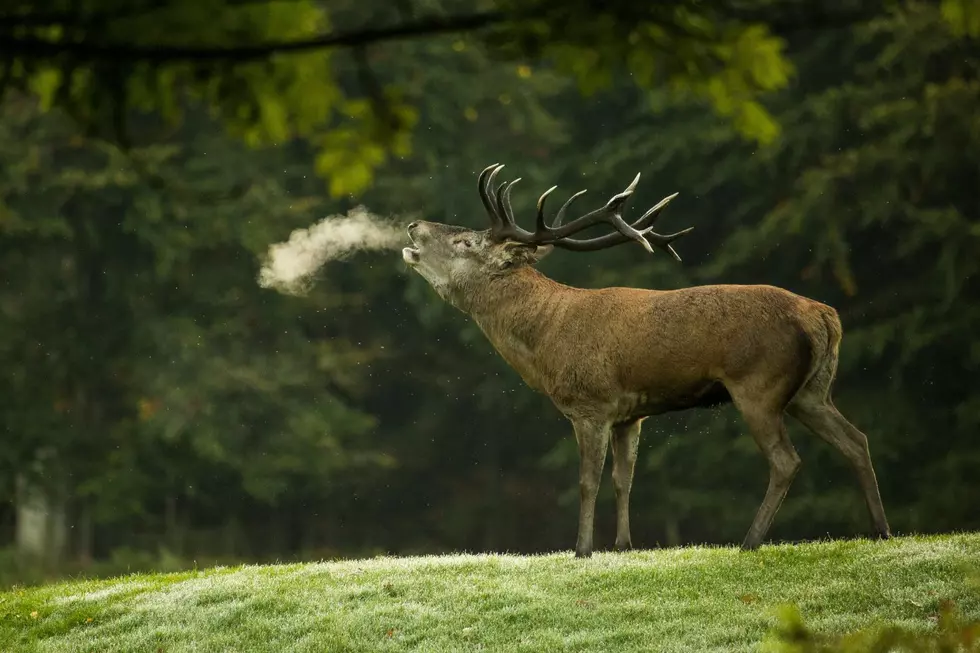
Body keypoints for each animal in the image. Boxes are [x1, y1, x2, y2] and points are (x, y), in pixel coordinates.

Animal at [402, 162, 892, 558]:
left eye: (465, 241)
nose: (412, 226)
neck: (546, 342)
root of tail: (825, 316)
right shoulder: (630, 414)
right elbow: (625, 479)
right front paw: (623, 545)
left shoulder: (591, 404)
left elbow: (588, 481)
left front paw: (582, 550)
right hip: (812, 390)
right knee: (857, 439)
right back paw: (881, 530)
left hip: (760, 384)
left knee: (786, 460)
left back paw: (750, 541)